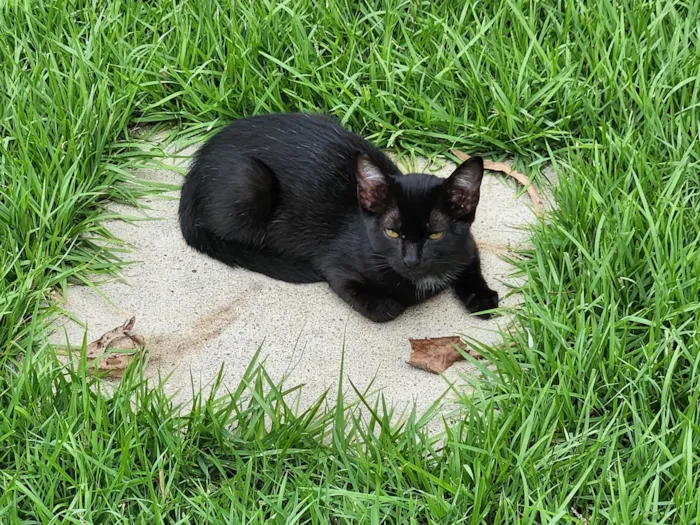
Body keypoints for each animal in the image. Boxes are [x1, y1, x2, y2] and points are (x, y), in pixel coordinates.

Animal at [180, 112, 498, 322]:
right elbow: (381, 306)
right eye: (392, 232)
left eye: (435, 234)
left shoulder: (466, 243)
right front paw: (390, 303)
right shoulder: (335, 266)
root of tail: (194, 171)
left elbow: (471, 264)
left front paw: (481, 296)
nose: (411, 261)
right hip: (252, 184)